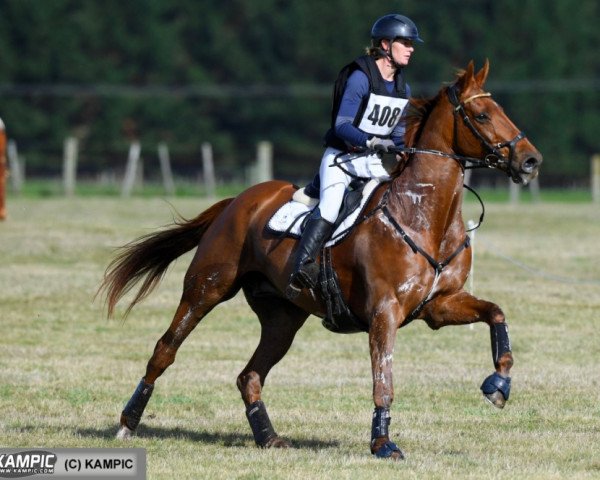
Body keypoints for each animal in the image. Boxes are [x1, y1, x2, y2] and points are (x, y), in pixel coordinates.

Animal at [99, 60, 544, 458]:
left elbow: (496, 314)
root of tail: (239, 200)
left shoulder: (438, 305)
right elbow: (384, 380)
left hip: (282, 316)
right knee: (165, 349)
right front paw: (383, 444)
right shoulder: (384, 312)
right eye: (482, 115)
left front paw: (498, 386)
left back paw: (269, 439)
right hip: (207, 288)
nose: (530, 161)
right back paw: (127, 423)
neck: (422, 215)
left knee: (250, 375)